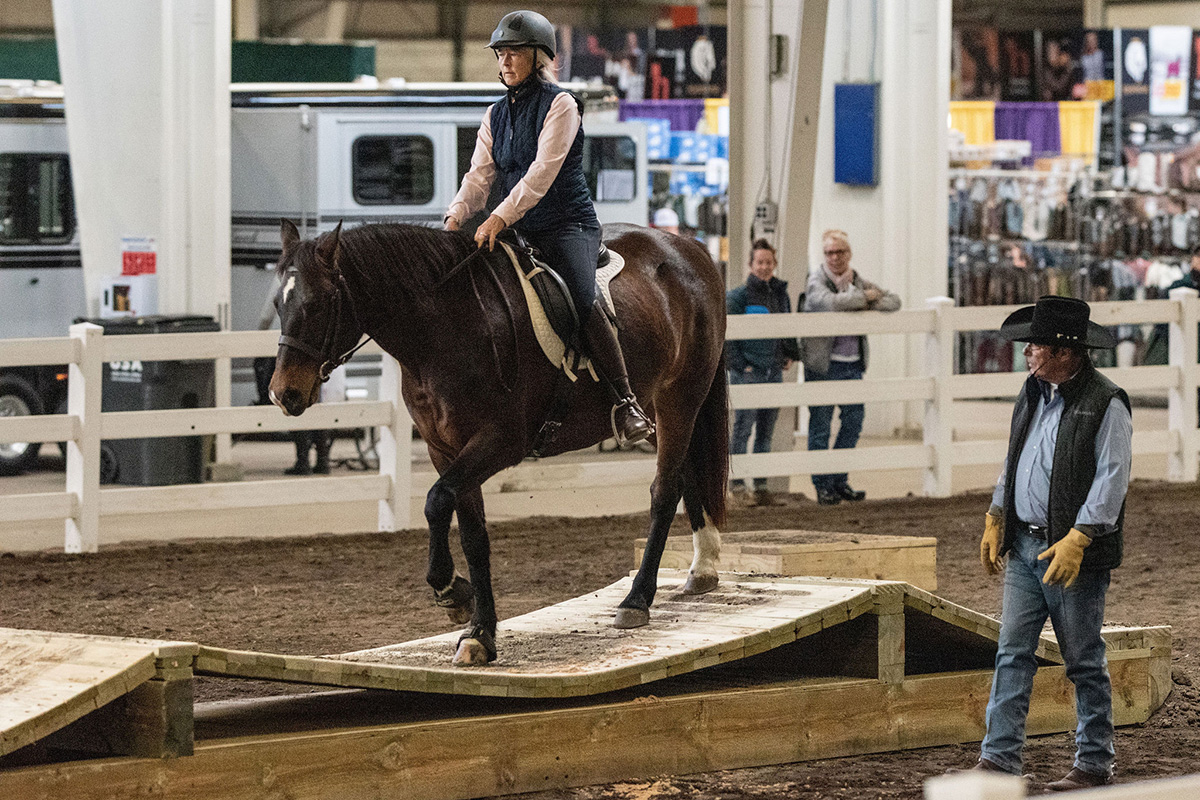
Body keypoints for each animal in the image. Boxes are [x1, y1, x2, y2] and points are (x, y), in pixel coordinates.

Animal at [267, 219, 724, 662]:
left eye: (318, 303)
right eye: (278, 305)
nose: (282, 394)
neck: (446, 327)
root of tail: (689, 247)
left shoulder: (500, 441)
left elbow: (436, 501)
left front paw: (452, 592)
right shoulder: (444, 449)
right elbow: (473, 535)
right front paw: (478, 632)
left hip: (680, 399)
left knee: (664, 491)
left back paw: (637, 599)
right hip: (659, 411)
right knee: (684, 477)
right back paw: (703, 568)